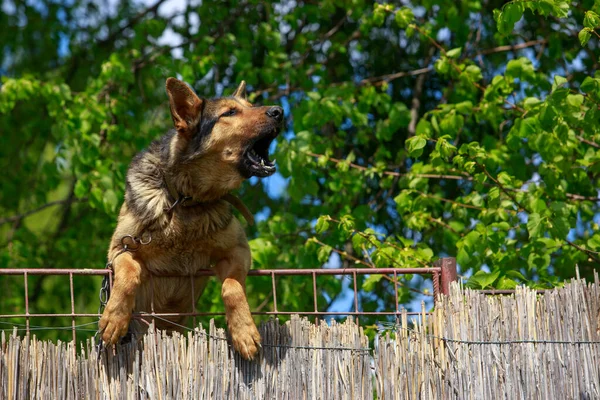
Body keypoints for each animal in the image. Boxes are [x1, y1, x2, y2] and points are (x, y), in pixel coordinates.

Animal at [98, 78, 284, 360]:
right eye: (230, 112)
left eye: (250, 105)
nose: (279, 111)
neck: (185, 199)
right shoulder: (120, 249)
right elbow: (130, 274)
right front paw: (114, 318)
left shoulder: (238, 251)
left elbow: (232, 287)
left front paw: (243, 331)